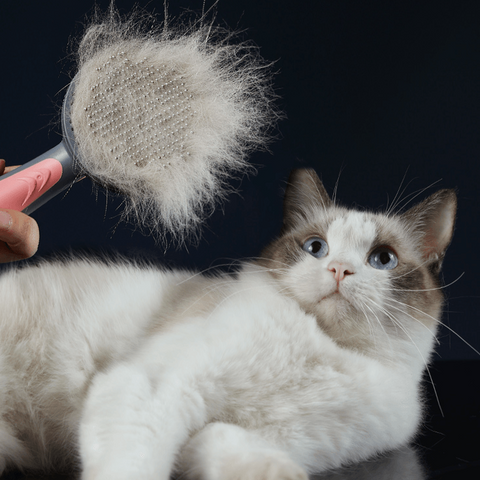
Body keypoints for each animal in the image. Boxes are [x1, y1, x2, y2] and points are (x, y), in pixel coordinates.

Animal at [0, 168, 458, 476]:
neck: (328, 350)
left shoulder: (249, 436)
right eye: (316, 248)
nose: (339, 270)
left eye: (382, 259)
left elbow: (244, 454)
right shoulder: (157, 387)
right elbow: (135, 465)